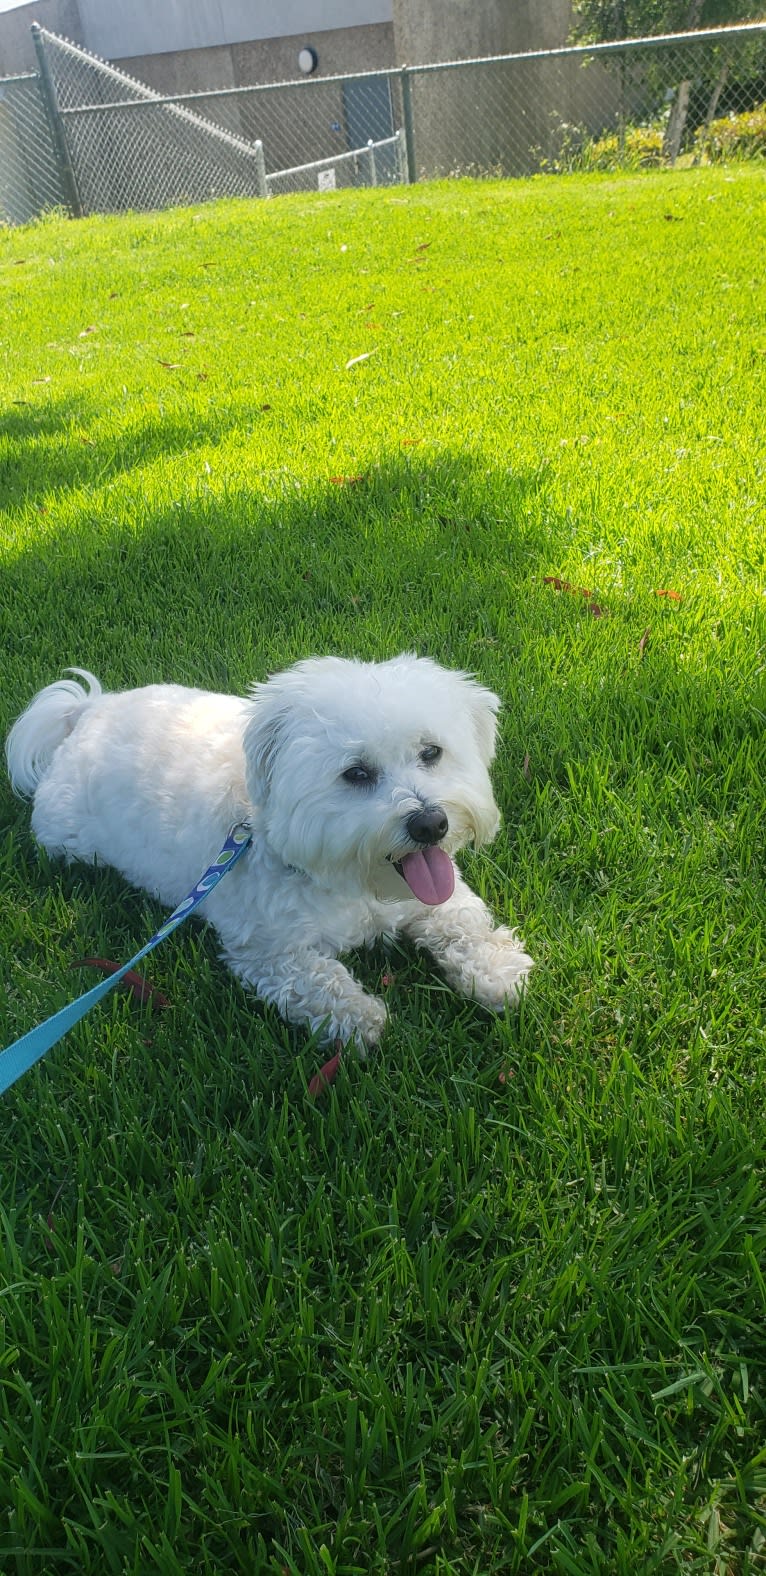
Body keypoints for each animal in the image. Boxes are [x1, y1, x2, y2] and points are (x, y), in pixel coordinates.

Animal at [5, 658, 532, 1052]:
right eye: (356, 773)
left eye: (431, 752)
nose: (430, 824)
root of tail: (88, 713)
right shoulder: (267, 950)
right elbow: (317, 981)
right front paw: (359, 1017)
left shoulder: (435, 897)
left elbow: (464, 922)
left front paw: (496, 971)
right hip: (66, 840)